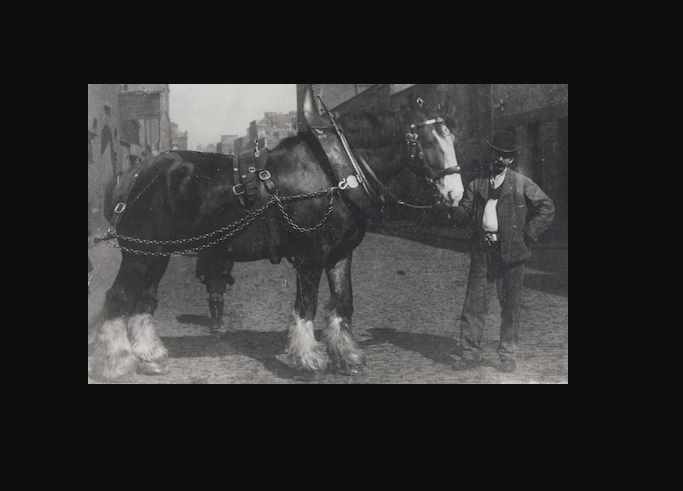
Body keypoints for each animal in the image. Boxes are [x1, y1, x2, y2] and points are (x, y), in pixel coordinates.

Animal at [88, 87, 465, 381]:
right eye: (427, 139)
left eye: (453, 137)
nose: (455, 193)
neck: (334, 172)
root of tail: (134, 174)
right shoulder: (311, 254)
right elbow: (306, 306)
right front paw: (309, 360)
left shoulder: (340, 254)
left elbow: (343, 303)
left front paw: (347, 356)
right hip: (140, 254)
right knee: (119, 298)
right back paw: (116, 364)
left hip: (156, 254)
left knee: (142, 301)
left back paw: (150, 358)